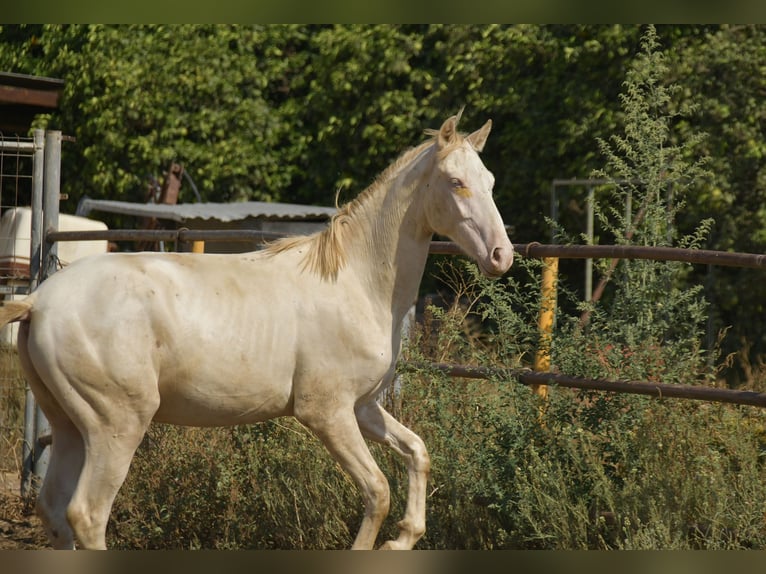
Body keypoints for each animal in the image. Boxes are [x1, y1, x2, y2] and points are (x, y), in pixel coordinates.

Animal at [3, 111, 516, 548]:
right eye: (456, 182)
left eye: (490, 182)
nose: (501, 256)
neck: (355, 282)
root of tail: (37, 302)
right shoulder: (326, 413)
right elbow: (377, 492)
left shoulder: (363, 408)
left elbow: (417, 452)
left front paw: (404, 538)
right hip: (116, 426)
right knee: (87, 514)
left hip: (70, 425)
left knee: (54, 511)